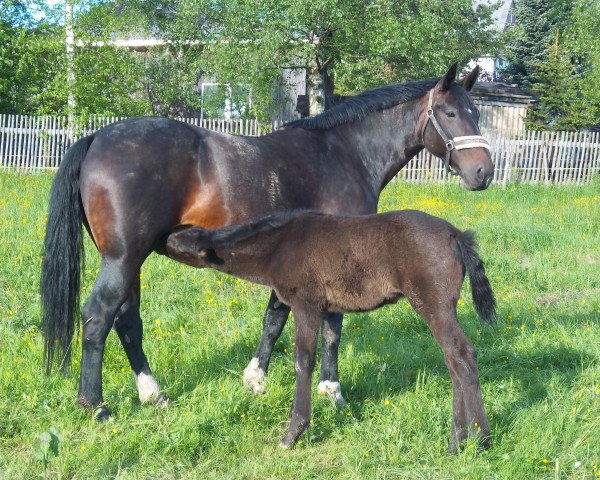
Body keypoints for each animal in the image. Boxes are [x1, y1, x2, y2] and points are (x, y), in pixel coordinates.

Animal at [164, 210, 496, 450]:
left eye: (179, 242)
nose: (162, 236)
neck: (280, 245)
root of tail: (457, 235)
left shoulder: (306, 306)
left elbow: (304, 360)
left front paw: (292, 434)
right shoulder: (324, 309)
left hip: (433, 305)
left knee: (462, 355)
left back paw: (480, 440)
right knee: (453, 359)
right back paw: (458, 440)